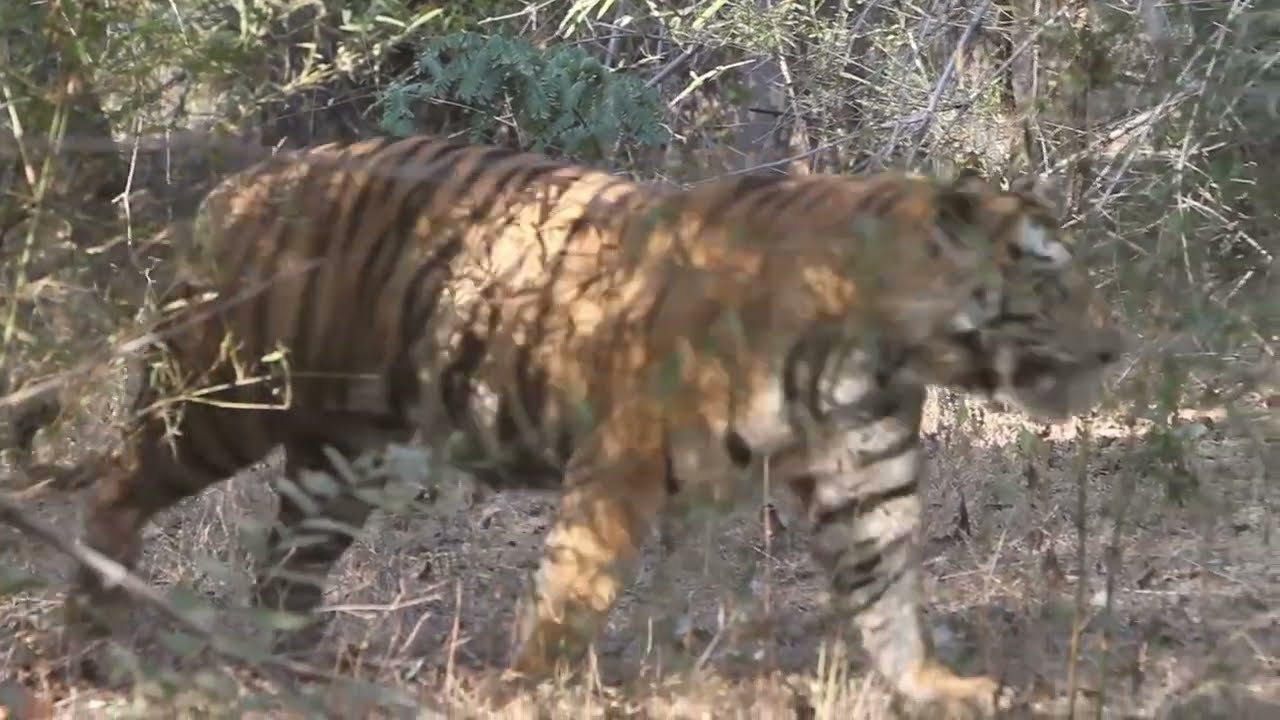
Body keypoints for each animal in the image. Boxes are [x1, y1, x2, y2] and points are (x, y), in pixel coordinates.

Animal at [63, 134, 1124, 716]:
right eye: (1048, 279)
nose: (1116, 349)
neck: (889, 348)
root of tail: (236, 187)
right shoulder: (623, 460)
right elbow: (575, 588)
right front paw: (527, 689)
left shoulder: (869, 473)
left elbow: (887, 587)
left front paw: (928, 686)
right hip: (225, 399)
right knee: (115, 485)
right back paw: (95, 636)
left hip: (343, 457)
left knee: (284, 565)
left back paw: (289, 668)